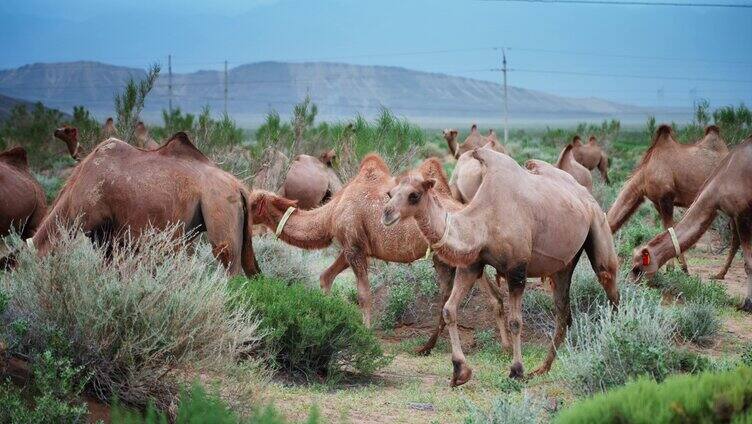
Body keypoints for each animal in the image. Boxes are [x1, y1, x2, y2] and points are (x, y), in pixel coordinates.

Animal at [253, 154, 512, 352]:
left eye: (253, 202)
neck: (331, 212)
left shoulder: (354, 246)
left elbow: (364, 295)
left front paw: (365, 334)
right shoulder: (354, 247)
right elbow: (326, 277)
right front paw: (324, 315)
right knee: (495, 296)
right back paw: (504, 346)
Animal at [382, 145, 616, 384]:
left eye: (414, 195)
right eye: (391, 193)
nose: (387, 213)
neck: (484, 221)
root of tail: (585, 194)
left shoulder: (517, 269)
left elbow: (515, 321)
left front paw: (516, 370)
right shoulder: (471, 265)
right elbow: (449, 309)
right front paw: (460, 371)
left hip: (599, 227)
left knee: (609, 284)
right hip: (563, 264)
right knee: (564, 311)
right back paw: (542, 369)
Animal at [604, 125, 736, 278]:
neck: (645, 175)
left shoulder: (666, 198)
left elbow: (669, 227)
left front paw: (675, 269)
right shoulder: (657, 202)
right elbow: (667, 228)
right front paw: (677, 268)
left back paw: (720, 274)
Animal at [632, 138, 752, 312]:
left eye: (637, 269)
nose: (631, 285)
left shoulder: (743, 215)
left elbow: (748, 262)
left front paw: (747, 304)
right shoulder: (735, 214)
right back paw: (719, 274)